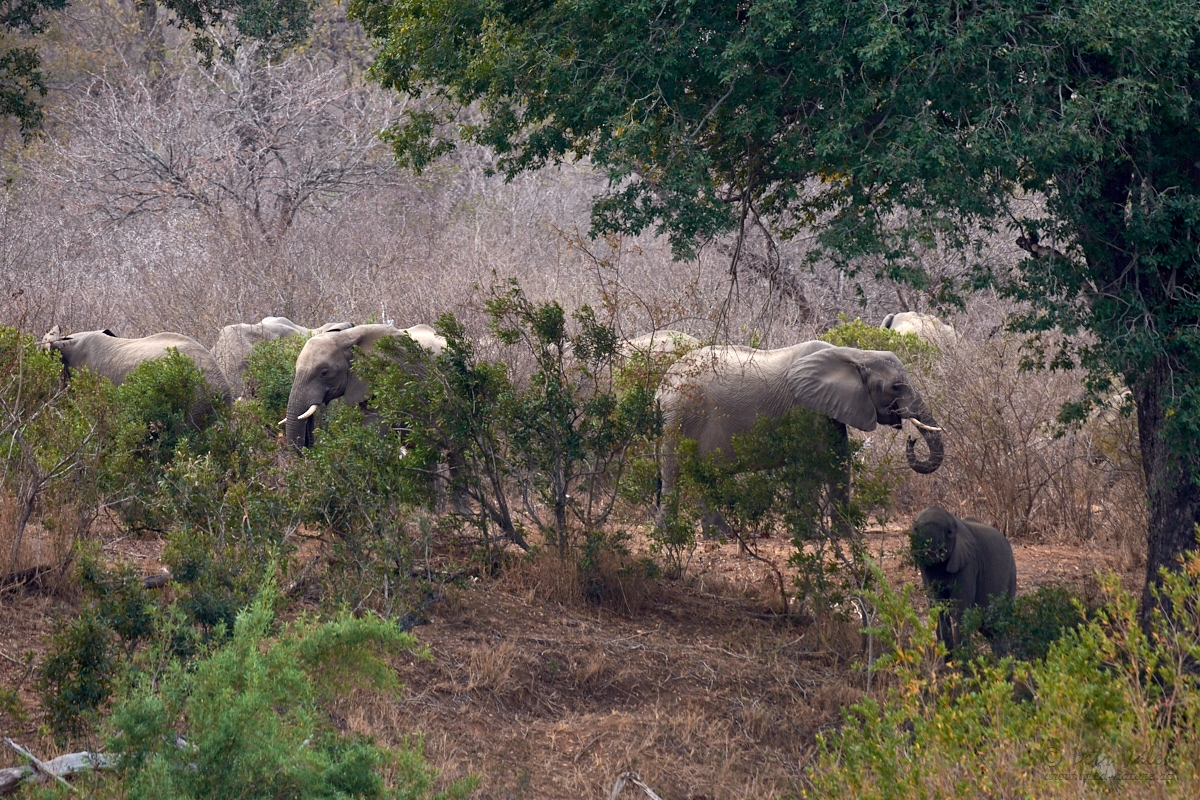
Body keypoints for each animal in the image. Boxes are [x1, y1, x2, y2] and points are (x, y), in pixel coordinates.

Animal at [657, 343, 945, 537]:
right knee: (675, 473)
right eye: (896, 387)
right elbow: (811, 465)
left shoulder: (829, 407)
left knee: (701, 476)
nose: (911, 439)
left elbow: (838, 461)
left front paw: (846, 536)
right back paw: (670, 535)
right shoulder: (805, 408)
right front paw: (811, 537)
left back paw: (719, 535)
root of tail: (661, 387)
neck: (854, 354)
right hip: (680, 416)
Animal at [912, 506, 1017, 652]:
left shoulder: (968, 563)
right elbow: (937, 605)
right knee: (988, 627)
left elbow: (960, 609)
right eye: (915, 529)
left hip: (1010, 576)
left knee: (997, 623)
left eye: (949, 532)